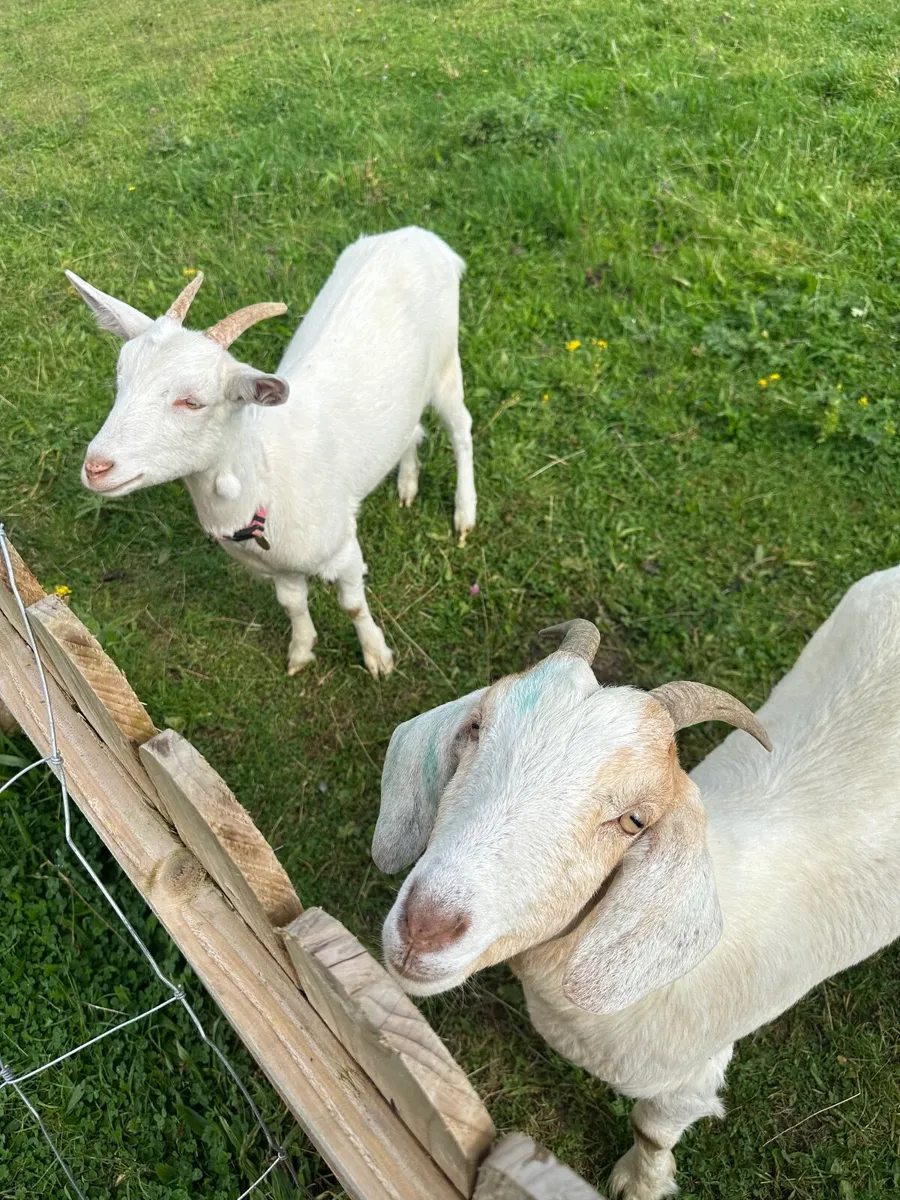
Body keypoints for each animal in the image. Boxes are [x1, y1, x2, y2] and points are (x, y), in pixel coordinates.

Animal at [68, 227, 477, 677]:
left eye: (193, 402)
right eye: (120, 378)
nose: (97, 466)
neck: (266, 479)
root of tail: (419, 235)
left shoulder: (344, 548)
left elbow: (352, 605)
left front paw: (377, 656)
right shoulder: (276, 568)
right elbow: (292, 604)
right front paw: (301, 652)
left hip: (447, 361)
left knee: (461, 427)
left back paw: (464, 515)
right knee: (412, 428)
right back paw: (407, 482)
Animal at [374, 571, 900, 1199]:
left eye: (634, 820)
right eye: (476, 728)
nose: (425, 927)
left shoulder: (690, 1077)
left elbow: (651, 1131)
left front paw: (640, 1183)